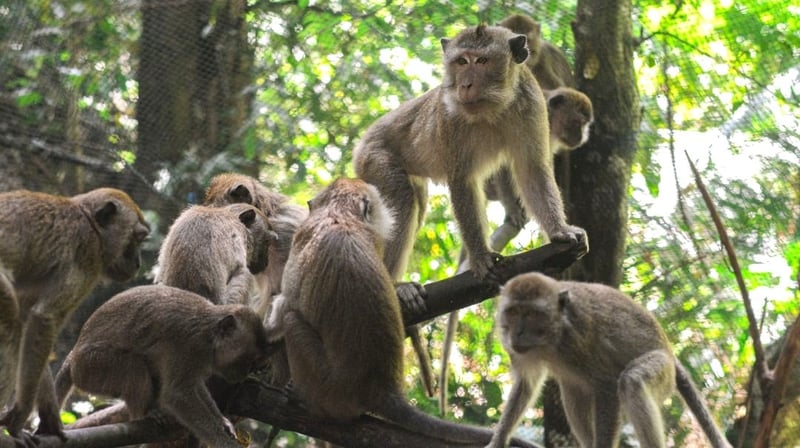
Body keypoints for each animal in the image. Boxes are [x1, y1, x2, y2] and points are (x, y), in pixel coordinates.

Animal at [0, 188, 149, 440]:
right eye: (137, 238)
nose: (138, 263)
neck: (89, 221)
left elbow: (31, 320)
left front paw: (49, 420)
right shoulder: (88, 256)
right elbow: (45, 318)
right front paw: (20, 415)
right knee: (11, 320)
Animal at [54, 284, 271, 448]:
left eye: (253, 363)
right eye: (246, 360)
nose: (244, 374)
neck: (210, 334)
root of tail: (73, 355)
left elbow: (195, 386)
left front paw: (222, 422)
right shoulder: (189, 345)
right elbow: (178, 394)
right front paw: (224, 443)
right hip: (91, 368)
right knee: (134, 365)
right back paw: (143, 414)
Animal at [265, 177, 538, 448]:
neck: (339, 214)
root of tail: (382, 390)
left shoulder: (301, 238)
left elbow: (283, 308)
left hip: (327, 388)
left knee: (291, 320)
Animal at [485, 272, 732, 448]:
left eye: (533, 314)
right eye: (513, 312)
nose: (518, 333)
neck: (554, 334)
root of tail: (669, 351)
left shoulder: (579, 336)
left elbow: (607, 385)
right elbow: (526, 384)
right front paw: (498, 440)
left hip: (664, 371)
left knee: (632, 381)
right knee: (572, 389)